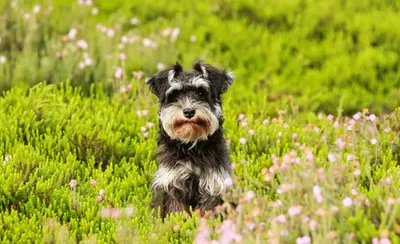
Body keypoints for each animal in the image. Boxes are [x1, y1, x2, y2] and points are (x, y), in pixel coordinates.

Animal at [146, 60, 234, 217]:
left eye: (201, 92)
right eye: (175, 94)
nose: (188, 111)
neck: (191, 147)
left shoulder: (213, 184)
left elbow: (207, 211)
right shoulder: (173, 183)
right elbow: (177, 211)